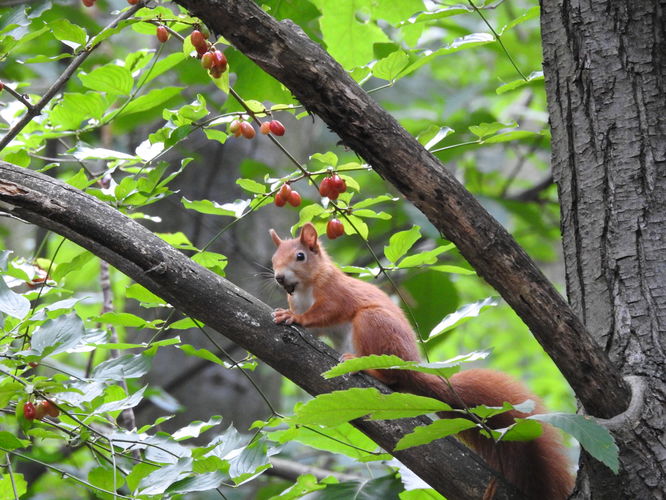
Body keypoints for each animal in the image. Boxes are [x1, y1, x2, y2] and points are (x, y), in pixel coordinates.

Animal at [268, 225, 572, 498]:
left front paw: (294, 317)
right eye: (273, 259)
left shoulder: (335, 294)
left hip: (373, 324)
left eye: (300, 256)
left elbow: (324, 313)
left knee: (392, 375)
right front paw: (287, 312)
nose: (279, 278)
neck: (305, 288)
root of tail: (412, 367)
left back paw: (367, 367)